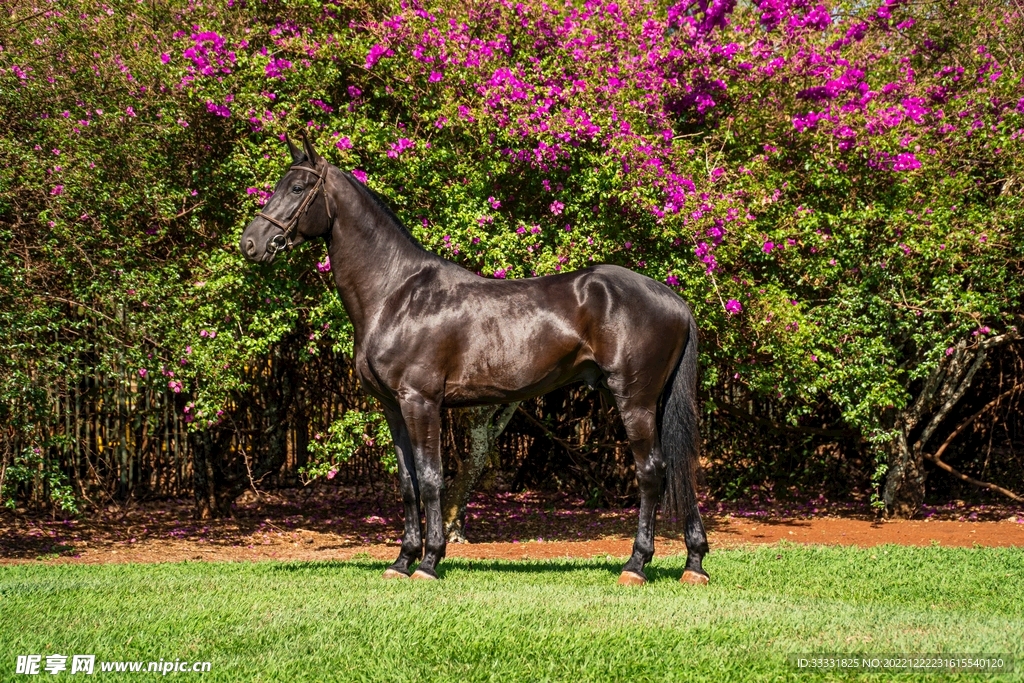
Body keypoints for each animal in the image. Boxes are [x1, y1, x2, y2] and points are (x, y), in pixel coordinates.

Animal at [239, 133, 710, 586]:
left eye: (297, 188)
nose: (251, 244)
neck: (396, 293)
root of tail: (674, 300)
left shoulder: (421, 402)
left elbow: (431, 479)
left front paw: (429, 562)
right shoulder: (392, 406)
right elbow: (408, 483)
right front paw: (401, 561)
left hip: (634, 400)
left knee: (651, 473)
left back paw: (636, 565)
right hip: (655, 402)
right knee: (680, 471)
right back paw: (694, 565)